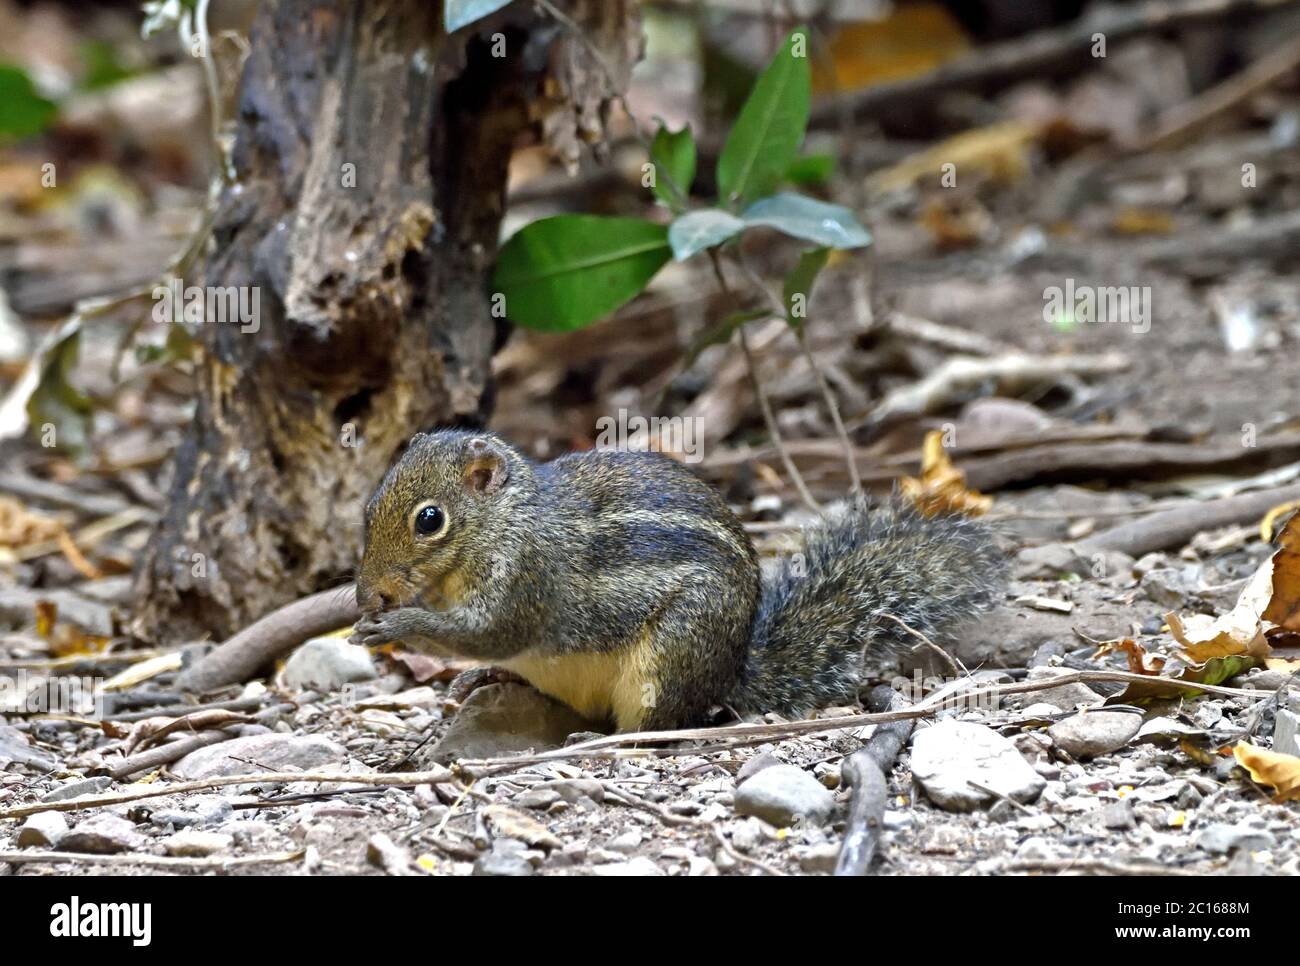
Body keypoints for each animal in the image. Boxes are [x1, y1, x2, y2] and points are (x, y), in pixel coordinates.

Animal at [351, 429, 1006, 732]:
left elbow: (491, 632)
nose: (367, 593)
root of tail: (734, 669)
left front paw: (396, 623)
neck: (504, 520)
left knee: (653, 725)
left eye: (429, 520)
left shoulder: (527, 576)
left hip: (669, 657)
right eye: (369, 507)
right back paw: (492, 681)